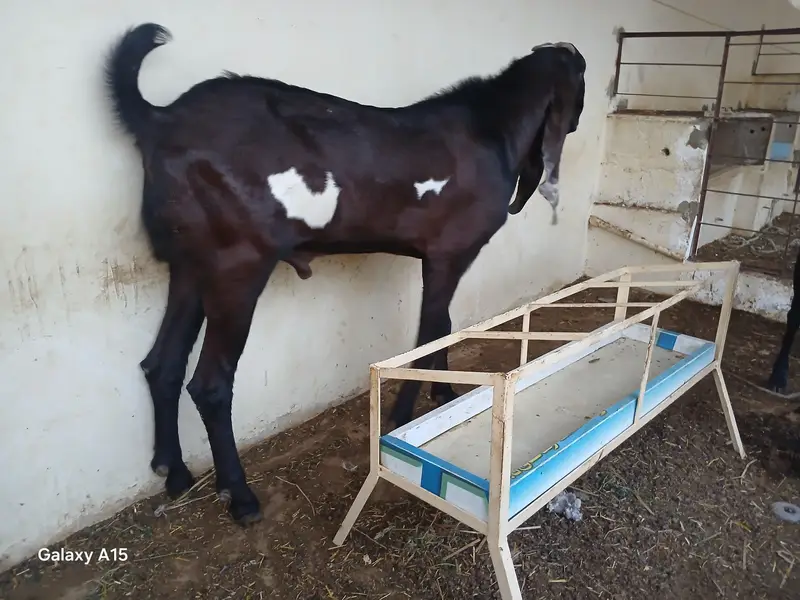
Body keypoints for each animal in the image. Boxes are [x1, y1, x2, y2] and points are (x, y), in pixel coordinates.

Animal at [104, 23, 586, 524]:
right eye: (584, 78)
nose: (577, 121)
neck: (490, 129)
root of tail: (160, 120)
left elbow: (443, 327)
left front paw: (446, 396)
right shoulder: (449, 253)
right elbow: (431, 330)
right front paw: (403, 418)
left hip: (188, 263)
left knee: (161, 363)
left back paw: (173, 470)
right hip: (236, 264)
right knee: (211, 385)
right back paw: (239, 494)